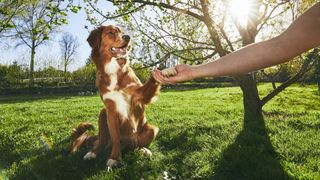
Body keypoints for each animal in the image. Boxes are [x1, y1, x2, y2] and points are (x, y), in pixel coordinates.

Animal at [70, 25, 160, 169]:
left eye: (122, 32)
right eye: (110, 32)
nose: (128, 37)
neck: (113, 69)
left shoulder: (140, 95)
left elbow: (151, 83)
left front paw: (161, 72)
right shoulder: (110, 110)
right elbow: (115, 138)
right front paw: (114, 158)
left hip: (152, 129)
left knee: (136, 145)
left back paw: (143, 150)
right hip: (103, 113)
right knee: (102, 141)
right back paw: (93, 153)